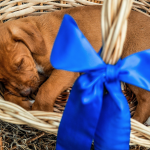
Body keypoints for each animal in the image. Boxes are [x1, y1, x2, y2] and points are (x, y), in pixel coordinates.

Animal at [0, 5, 149, 123]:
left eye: (20, 63)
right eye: (2, 79)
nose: (26, 93)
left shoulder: (64, 71)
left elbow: (46, 89)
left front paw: (41, 110)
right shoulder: (38, 76)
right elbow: (7, 94)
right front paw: (23, 104)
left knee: (146, 99)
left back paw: (134, 123)